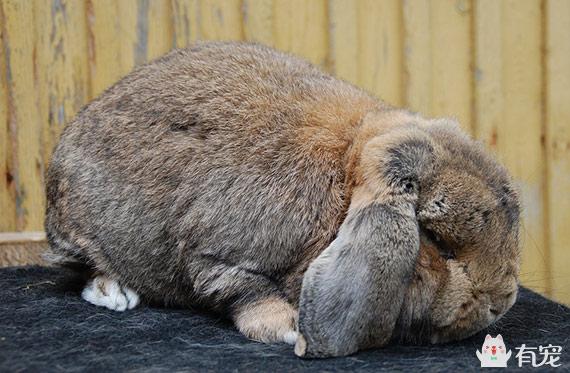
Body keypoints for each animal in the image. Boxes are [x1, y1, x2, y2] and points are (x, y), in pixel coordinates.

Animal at [45, 41, 520, 358]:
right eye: (438, 243)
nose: (502, 301)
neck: (345, 169)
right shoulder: (217, 258)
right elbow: (243, 291)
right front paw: (291, 329)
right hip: (75, 231)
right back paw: (115, 292)